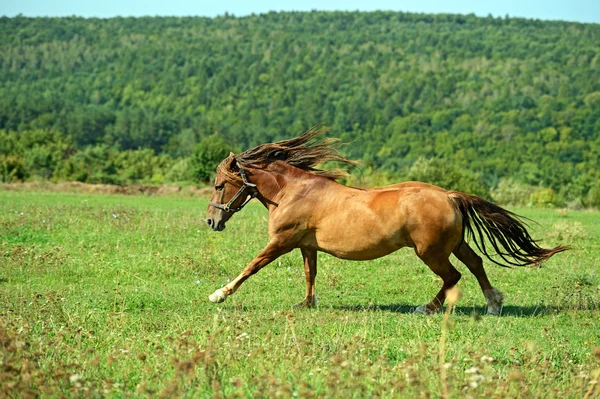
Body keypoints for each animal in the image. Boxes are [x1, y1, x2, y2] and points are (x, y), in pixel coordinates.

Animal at [205, 128, 568, 316]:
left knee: (453, 276)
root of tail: (450, 195)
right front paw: (307, 303)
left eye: (220, 184)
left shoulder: (281, 242)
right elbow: (310, 274)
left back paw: (427, 308)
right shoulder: (306, 245)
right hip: (454, 244)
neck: (293, 192)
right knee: (476, 264)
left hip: (430, 251)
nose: (211, 221)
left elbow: (252, 267)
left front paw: (219, 294)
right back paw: (493, 304)